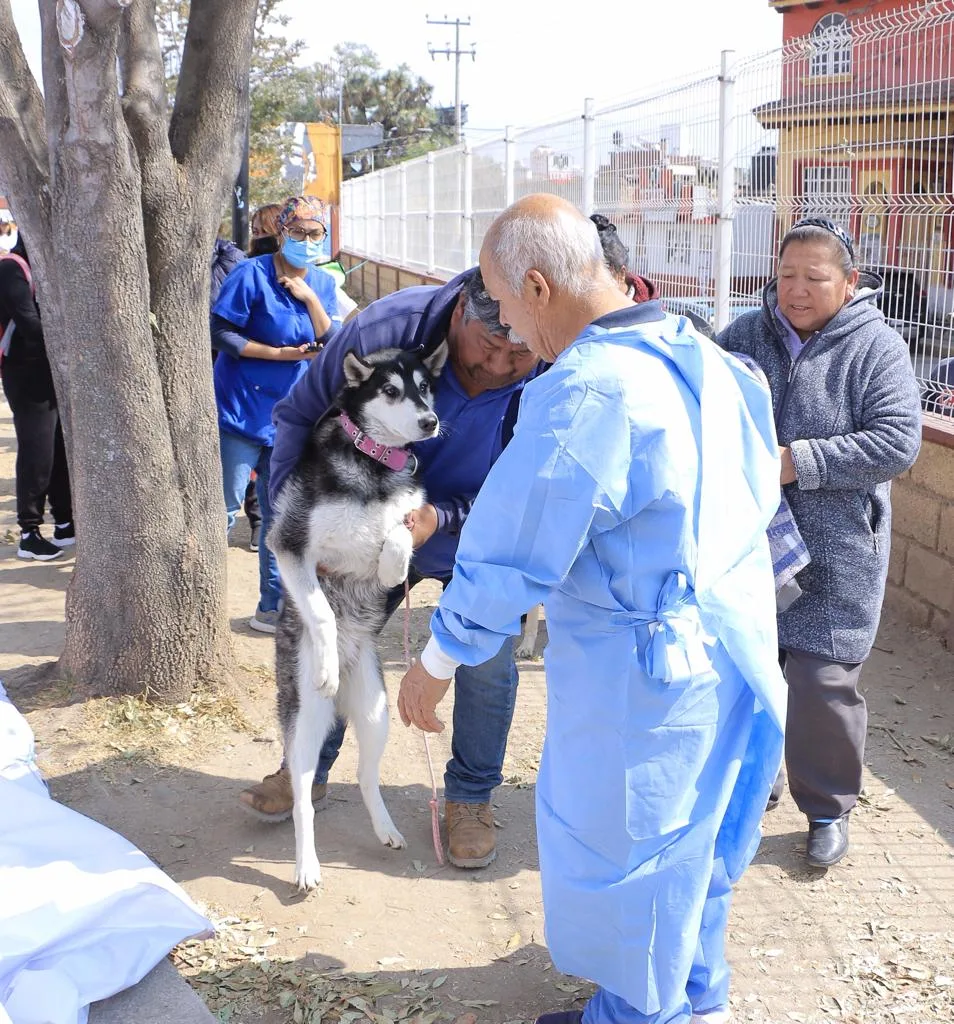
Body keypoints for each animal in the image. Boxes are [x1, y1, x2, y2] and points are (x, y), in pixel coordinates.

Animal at [268, 344, 446, 888]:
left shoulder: (410, 515)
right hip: (306, 720)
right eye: (390, 390)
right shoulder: (290, 547)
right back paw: (307, 865)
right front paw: (326, 662)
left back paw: (386, 828)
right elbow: (323, 613)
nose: (430, 421)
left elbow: (400, 535)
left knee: (367, 777)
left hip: (377, 712)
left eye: (425, 388)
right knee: (303, 796)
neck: (376, 466)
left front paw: (390, 558)